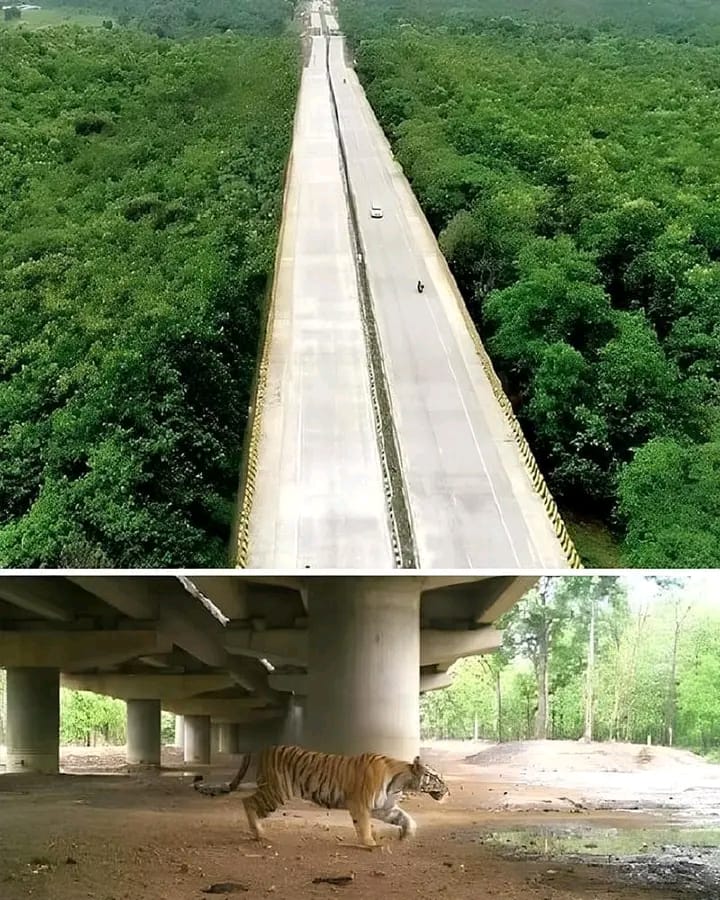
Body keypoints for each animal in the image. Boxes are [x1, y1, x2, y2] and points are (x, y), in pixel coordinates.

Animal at [194, 740, 448, 848]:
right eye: (436, 778)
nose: (449, 791)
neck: (401, 781)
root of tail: (264, 748)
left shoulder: (383, 807)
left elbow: (405, 817)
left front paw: (407, 834)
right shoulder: (360, 805)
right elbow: (364, 825)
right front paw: (369, 843)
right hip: (276, 793)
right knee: (247, 802)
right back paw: (259, 834)